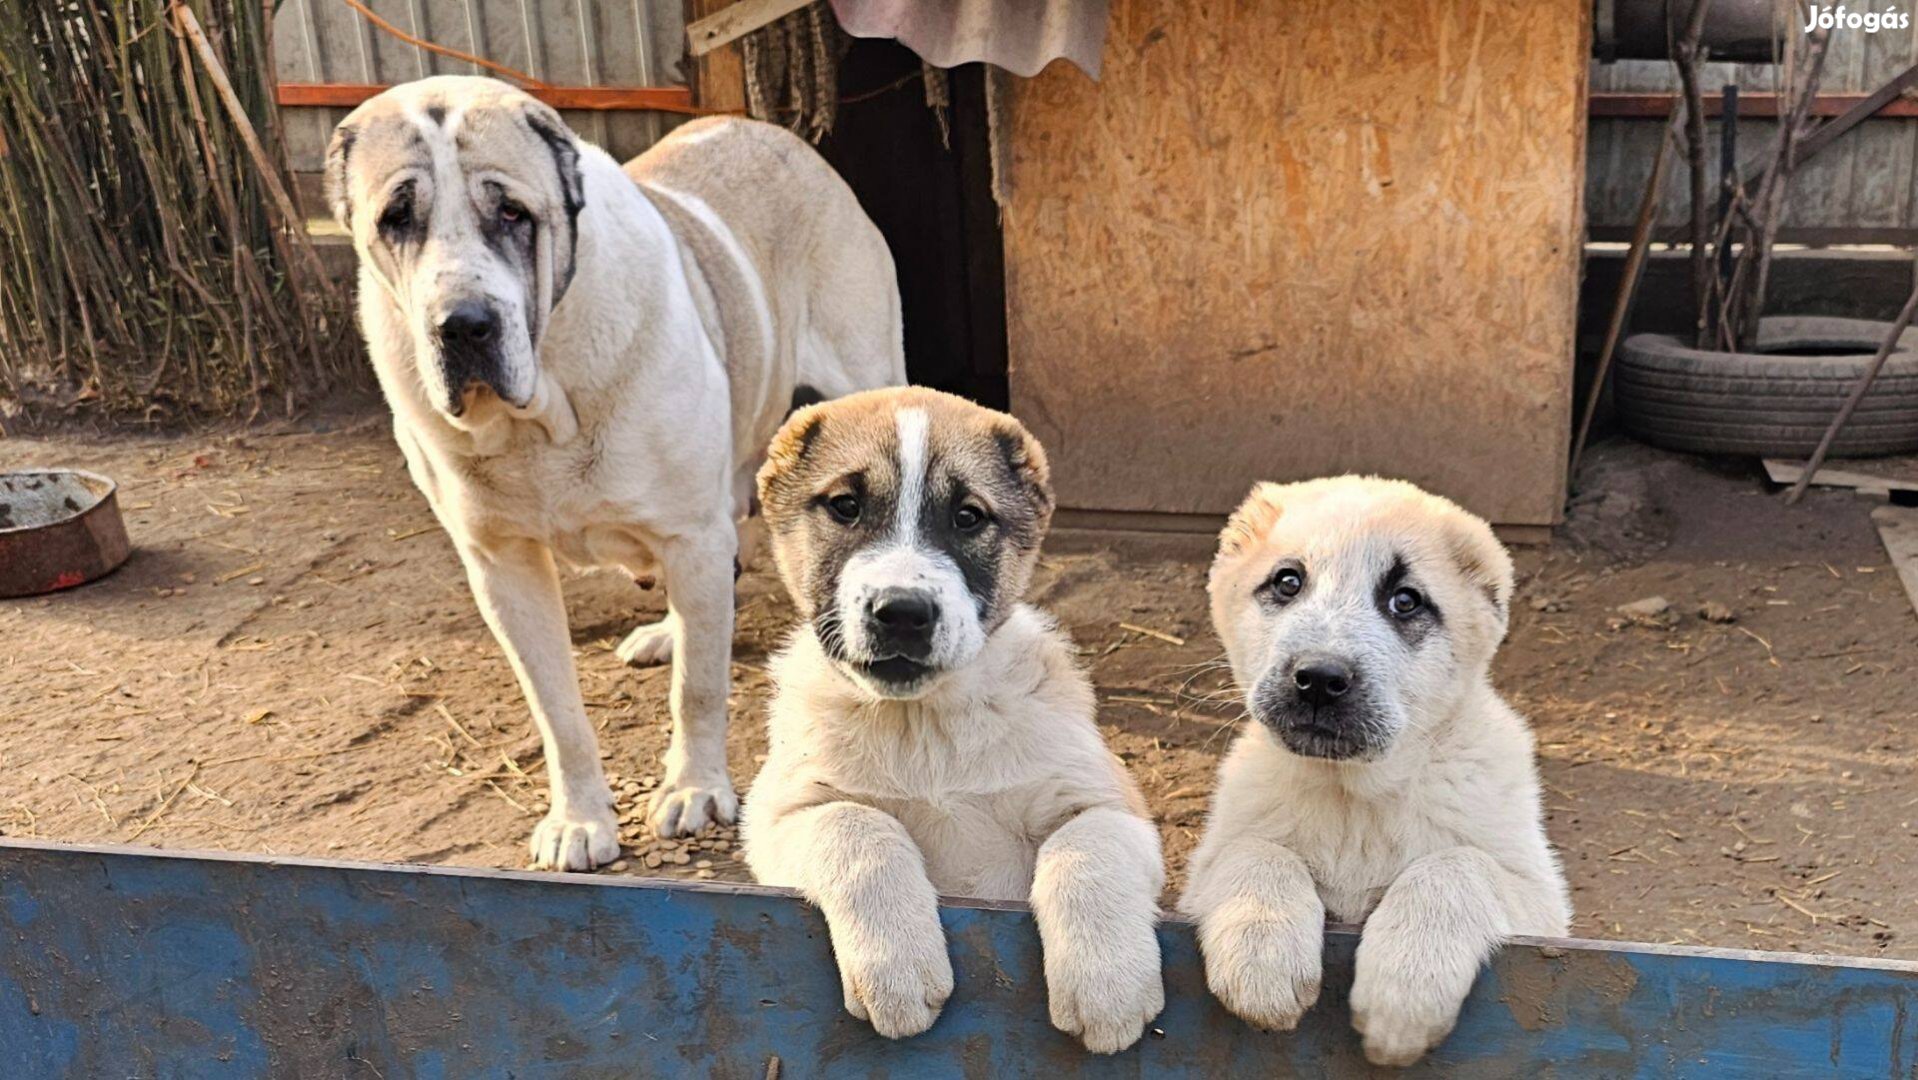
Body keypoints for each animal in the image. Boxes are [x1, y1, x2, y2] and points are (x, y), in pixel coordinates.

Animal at [324, 78, 905, 870]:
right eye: (396, 218)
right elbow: (556, 709)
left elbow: (698, 689)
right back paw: (668, 630)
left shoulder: (689, 533)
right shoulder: (501, 565)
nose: (464, 324)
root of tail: (776, 136)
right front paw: (578, 819)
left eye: (513, 213)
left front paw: (696, 790)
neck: (542, 415)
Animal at [740, 389, 1166, 1058]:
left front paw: (1107, 983)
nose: (902, 613)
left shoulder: (1109, 804)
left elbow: (1085, 847)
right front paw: (897, 965)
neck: (925, 727)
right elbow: (856, 824)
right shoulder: (776, 816)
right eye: (845, 506)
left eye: (968, 517)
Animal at [1181, 479, 1572, 1066]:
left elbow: (1455, 865)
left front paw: (1405, 986)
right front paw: (1261, 951)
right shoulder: (1205, 873)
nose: (1319, 679)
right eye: (1288, 582)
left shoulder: (1542, 910)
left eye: (1405, 601)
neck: (1354, 798)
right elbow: (1255, 850)